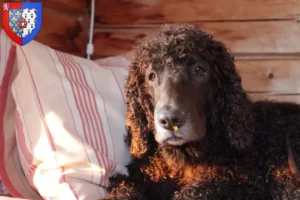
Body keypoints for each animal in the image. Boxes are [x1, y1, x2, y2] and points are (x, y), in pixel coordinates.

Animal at [101, 24, 300, 199]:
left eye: (199, 70)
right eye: (151, 76)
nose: (170, 120)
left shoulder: (240, 180)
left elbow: (195, 191)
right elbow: (124, 189)